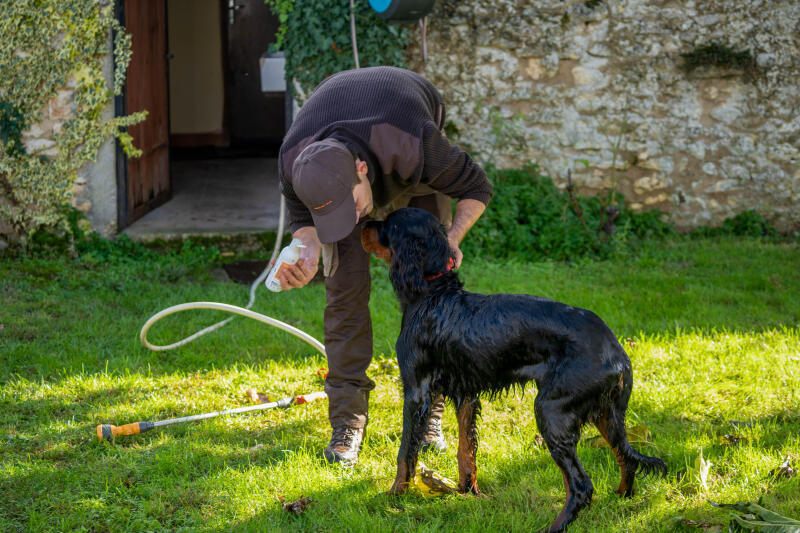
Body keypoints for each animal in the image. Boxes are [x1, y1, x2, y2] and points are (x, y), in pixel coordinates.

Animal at [362, 208, 668, 532]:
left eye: (388, 223)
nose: (363, 221)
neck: (434, 292)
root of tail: (616, 351)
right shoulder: (466, 393)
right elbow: (466, 449)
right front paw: (467, 491)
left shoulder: (416, 391)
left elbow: (406, 452)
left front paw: (393, 495)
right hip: (607, 413)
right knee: (626, 457)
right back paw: (622, 495)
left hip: (552, 411)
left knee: (581, 485)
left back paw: (555, 526)